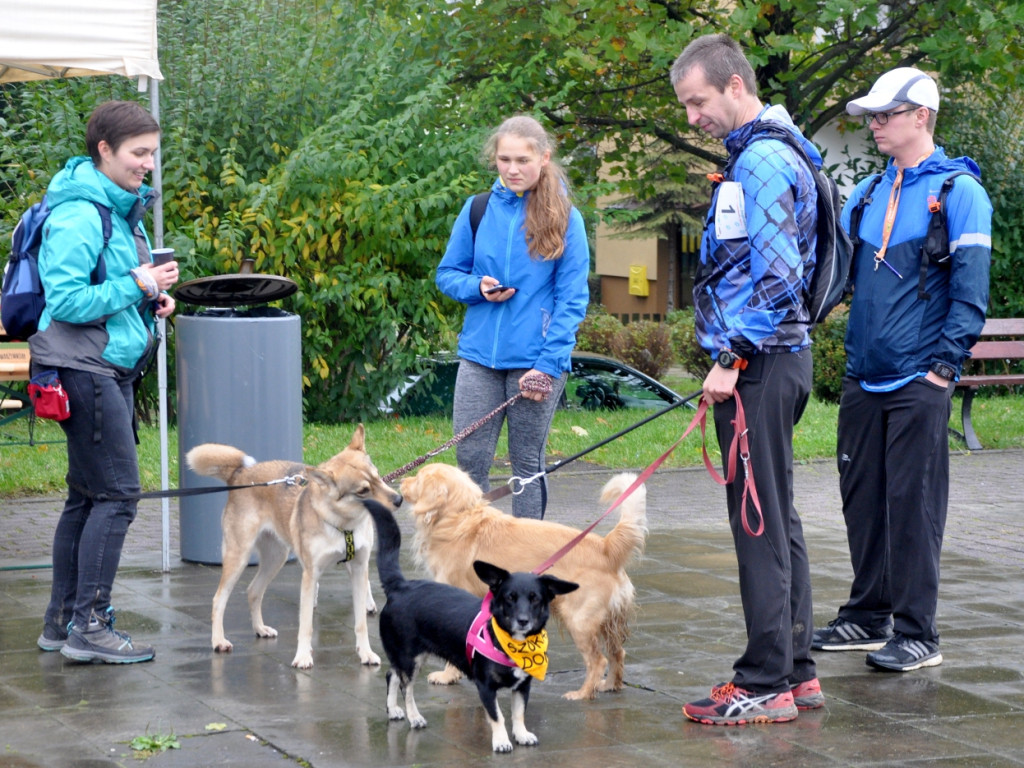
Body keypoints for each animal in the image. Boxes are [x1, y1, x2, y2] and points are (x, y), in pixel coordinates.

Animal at [185, 423, 399, 671]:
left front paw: (366, 654)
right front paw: (303, 656)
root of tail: (239, 475)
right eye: (363, 490)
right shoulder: (310, 575)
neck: (343, 525)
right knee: (219, 600)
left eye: (378, 477)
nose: (399, 500)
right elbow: (306, 624)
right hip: (238, 558)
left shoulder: (359, 569)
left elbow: (361, 623)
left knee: (253, 591)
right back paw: (218, 641)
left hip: (276, 558)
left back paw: (260, 629)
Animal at [366, 499, 577, 757]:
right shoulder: (485, 686)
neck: (510, 642)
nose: (523, 620)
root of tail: (401, 586)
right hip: (409, 657)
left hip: (410, 657)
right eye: (509, 597)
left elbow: (518, 713)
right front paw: (501, 740)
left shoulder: (522, 686)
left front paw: (522, 734)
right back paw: (413, 716)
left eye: (535, 598)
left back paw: (393, 710)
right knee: (407, 688)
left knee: (392, 675)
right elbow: (497, 716)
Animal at [401, 462, 647, 704]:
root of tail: (607, 548)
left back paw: (583, 693)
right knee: (617, 653)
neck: (458, 515)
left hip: (579, 621)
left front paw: (447, 675)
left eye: (418, 478)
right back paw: (609, 685)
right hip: (608, 621)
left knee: (598, 661)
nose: (402, 481)